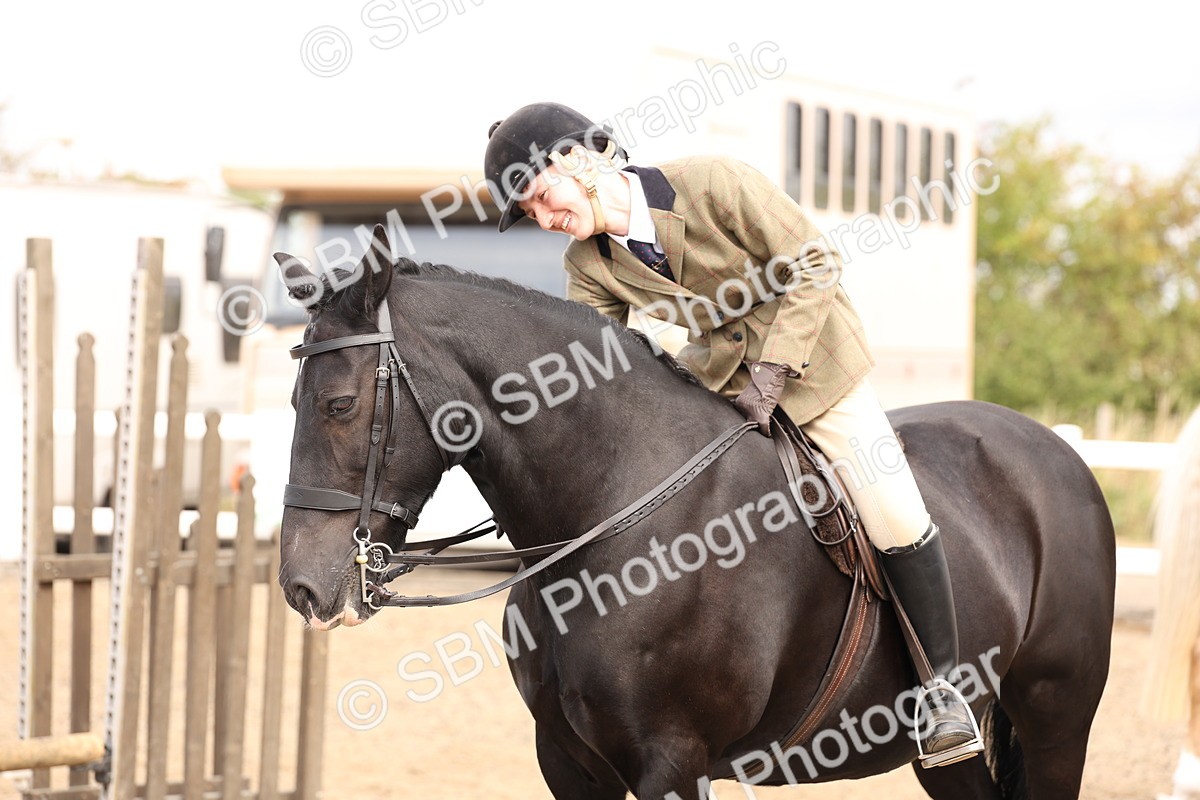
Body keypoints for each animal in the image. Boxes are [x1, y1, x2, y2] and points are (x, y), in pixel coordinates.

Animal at [275, 228, 1116, 799]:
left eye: (339, 405)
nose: (302, 587)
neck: (613, 513)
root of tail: (1055, 448)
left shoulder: (673, 760)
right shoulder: (568, 762)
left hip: (1056, 717)